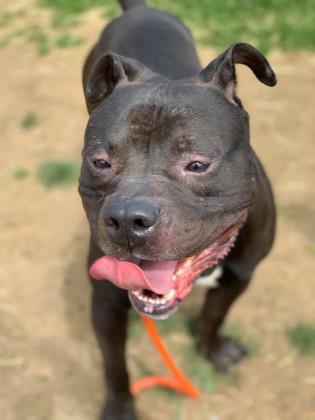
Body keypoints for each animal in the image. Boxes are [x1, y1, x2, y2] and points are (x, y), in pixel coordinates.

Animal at [79, 1, 276, 418]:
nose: (128, 219)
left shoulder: (241, 275)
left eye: (198, 164)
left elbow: (213, 316)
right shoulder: (104, 301)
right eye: (100, 162)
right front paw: (120, 405)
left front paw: (211, 349)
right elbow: (113, 362)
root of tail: (139, 9)